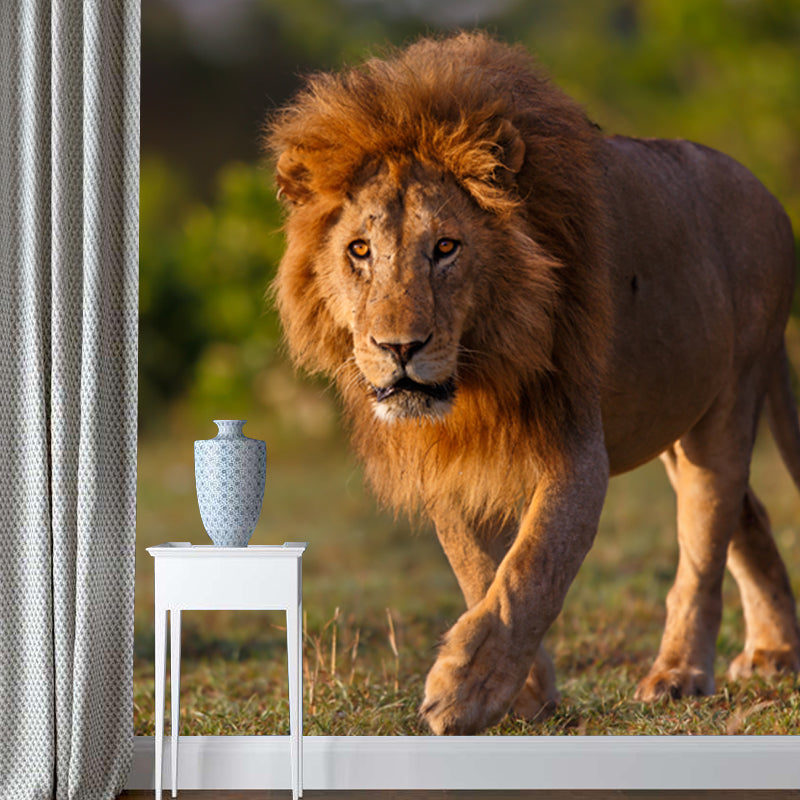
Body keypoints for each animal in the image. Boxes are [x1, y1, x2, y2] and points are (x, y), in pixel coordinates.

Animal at [265, 32, 800, 734]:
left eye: (445, 247)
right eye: (359, 251)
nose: (399, 348)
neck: (478, 373)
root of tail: (767, 193)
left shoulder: (576, 447)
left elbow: (531, 568)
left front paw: (466, 690)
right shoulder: (447, 460)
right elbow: (479, 569)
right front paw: (523, 694)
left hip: (732, 397)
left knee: (704, 543)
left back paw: (680, 674)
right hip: (675, 422)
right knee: (748, 513)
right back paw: (774, 652)